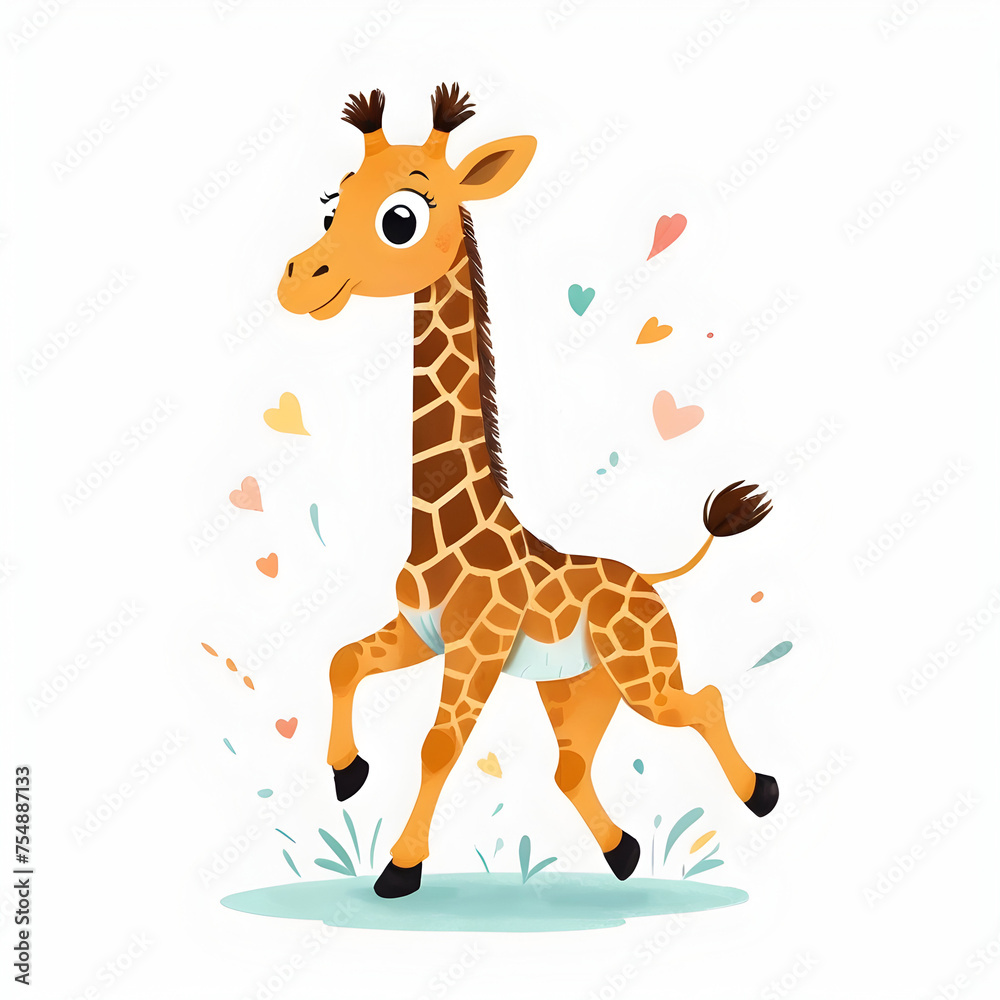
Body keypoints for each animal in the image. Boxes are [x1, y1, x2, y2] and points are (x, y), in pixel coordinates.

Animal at [276, 84, 778, 898]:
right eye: (331, 207)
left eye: (400, 219)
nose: (298, 281)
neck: (446, 524)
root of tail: (651, 578)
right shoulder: (418, 633)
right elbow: (342, 661)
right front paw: (348, 774)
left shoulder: (474, 651)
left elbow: (436, 748)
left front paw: (399, 870)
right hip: (575, 689)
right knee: (571, 768)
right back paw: (624, 854)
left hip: (641, 673)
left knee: (699, 702)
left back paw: (760, 794)